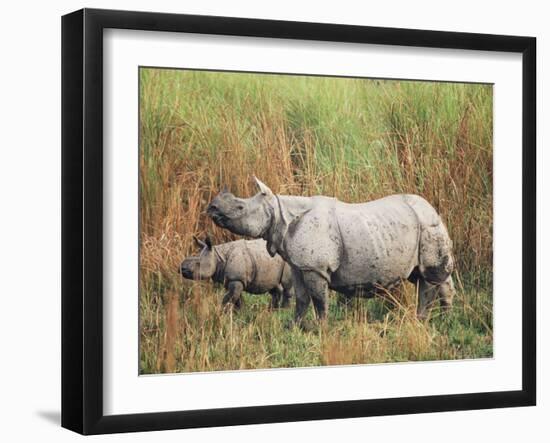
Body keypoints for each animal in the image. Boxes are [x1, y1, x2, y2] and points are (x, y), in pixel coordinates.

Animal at [207, 177, 458, 326]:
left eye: (239, 207)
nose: (212, 207)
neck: (279, 213)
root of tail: (433, 208)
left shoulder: (315, 267)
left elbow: (319, 300)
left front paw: (321, 328)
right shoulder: (299, 266)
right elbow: (302, 299)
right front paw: (294, 327)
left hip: (427, 224)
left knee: (428, 277)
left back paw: (422, 320)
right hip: (419, 225)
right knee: (427, 277)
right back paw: (445, 320)